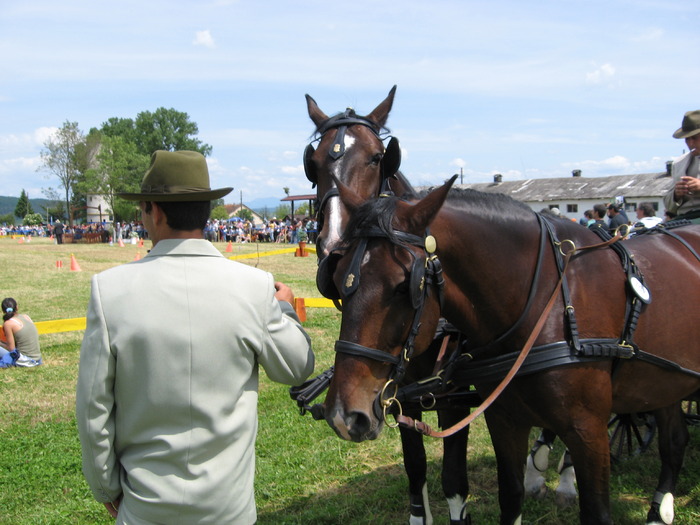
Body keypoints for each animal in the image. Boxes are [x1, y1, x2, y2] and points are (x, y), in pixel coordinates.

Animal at [304, 88, 474, 520]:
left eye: (377, 156)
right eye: (313, 164)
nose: (333, 241)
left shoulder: (455, 401)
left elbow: (453, 481)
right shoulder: (398, 399)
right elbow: (416, 471)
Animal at [322, 177, 700, 524]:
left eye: (404, 287)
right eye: (337, 280)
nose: (344, 416)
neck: (547, 306)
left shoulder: (587, 428)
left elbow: (595, 510)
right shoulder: (503, 419)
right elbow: (509, 495)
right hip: (662, 383)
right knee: (675, 439)